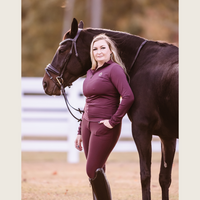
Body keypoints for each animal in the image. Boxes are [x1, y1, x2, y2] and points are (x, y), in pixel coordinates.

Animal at [42, 18, 178, 199]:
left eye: (62, 50)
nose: (45, 83)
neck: (141, 63)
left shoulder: (142, 130)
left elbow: (145, 176)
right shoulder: (167, 136)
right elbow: (164, 179)